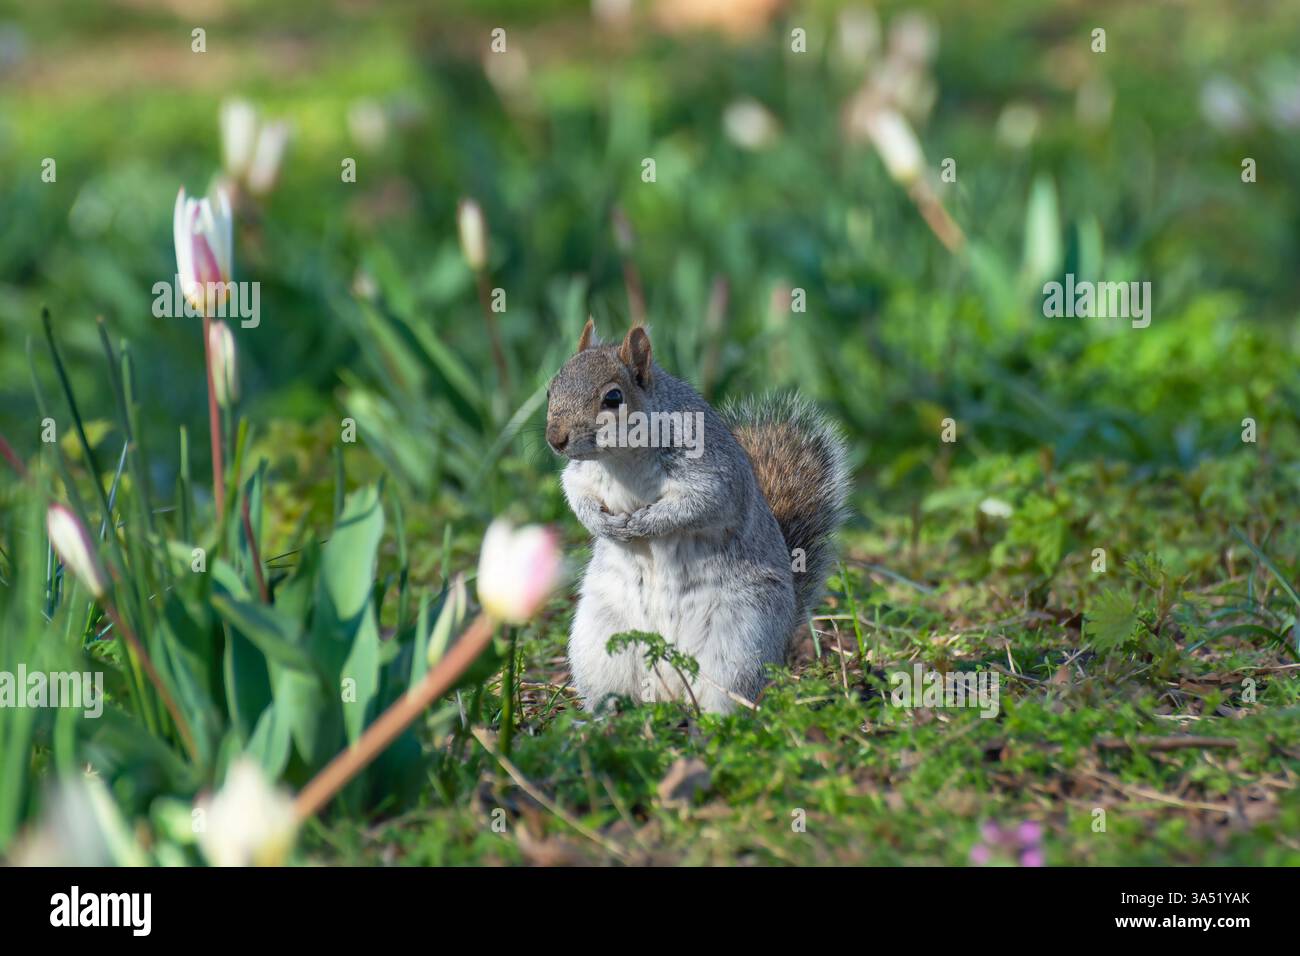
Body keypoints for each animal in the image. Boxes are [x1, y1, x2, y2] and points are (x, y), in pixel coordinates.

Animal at [546, 319, 849, 713]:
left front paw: (645, 522)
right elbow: (577, 495)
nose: (555, 439)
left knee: (727, 695)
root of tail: (667, 688)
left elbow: (696, 505)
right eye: (551, 389)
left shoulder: (712, 474)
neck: (622, 460)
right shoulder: (580, 476)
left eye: (613, 398)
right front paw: (605, 525)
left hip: (740, 641)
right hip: (599, 641)